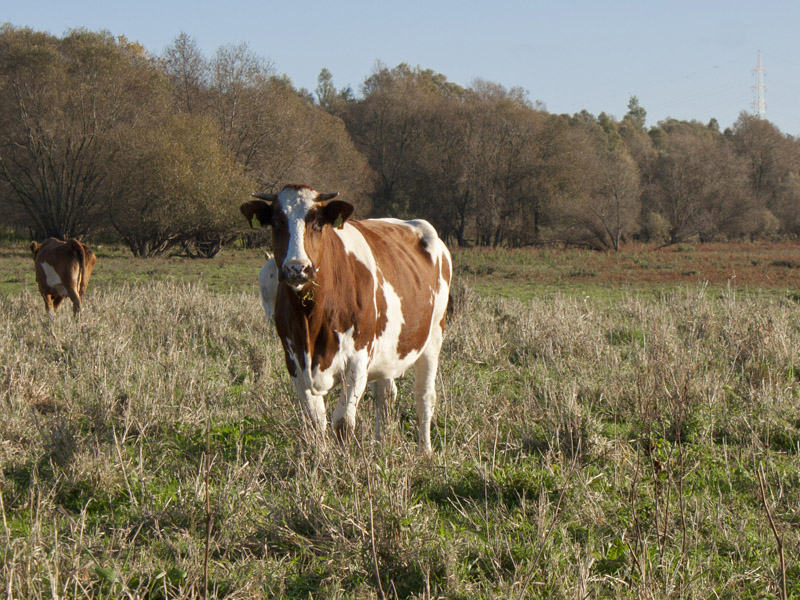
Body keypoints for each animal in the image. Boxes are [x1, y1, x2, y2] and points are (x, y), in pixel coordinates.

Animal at [239, 184, 450, 454]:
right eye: (276, 222)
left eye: (318, 223)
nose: (297, 268)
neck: (311, 319)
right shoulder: (295, 361)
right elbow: (315, 422)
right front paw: (320, 459)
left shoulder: (357, 359)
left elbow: (342, 422)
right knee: (384, 396)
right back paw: (380, 447)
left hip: (433, 335)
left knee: (424, 397)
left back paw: (425, 451)